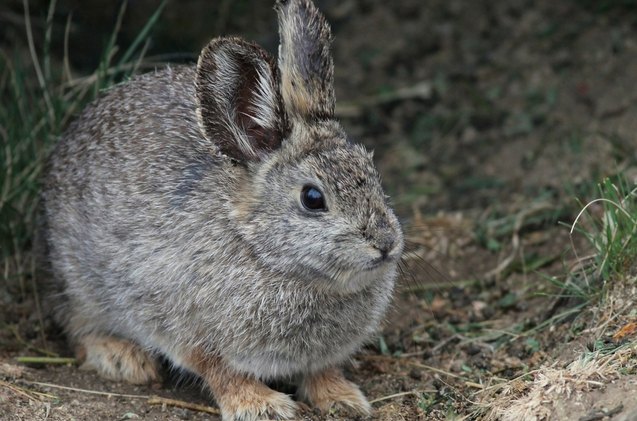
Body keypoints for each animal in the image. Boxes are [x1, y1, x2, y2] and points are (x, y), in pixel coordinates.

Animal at [41, 0, 402, 420]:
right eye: (313, 198)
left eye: (371, 171)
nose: (386, 243)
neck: (263, 253)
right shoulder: (186, 329)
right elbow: (222, 371)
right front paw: (262, 406)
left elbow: (320, 371)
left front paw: (343, 398)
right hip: (77, 284)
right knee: (78, 328)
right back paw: (123, 359)